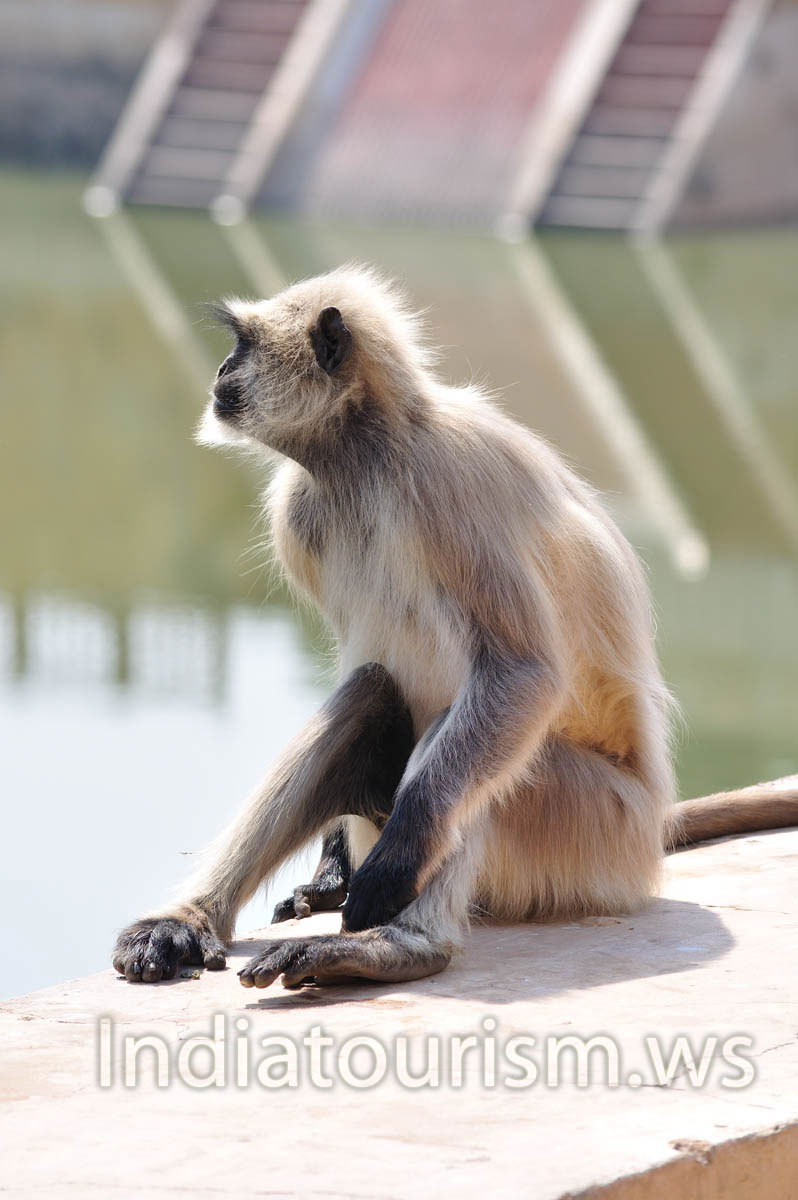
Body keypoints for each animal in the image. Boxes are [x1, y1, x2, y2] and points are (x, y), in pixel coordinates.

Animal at [112, 265, 798, 988]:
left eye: (242, 345)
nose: (220, 370)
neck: (367, 457)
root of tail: (651, 828)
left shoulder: (452, 478)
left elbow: (521, 672)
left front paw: (388, 874)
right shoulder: (300, 511)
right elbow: (362, 668)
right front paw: (327, 876)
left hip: (597, 834)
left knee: (478, 749)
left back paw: (404, 946)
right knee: (368, 691)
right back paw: (187, 923)